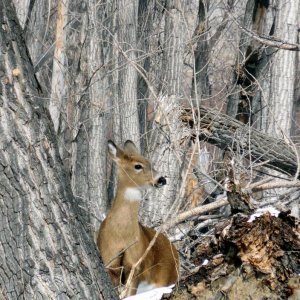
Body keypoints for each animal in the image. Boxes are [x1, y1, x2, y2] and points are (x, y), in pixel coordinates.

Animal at [97, 139, 179, 296]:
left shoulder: (136, 266)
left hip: (165, 277)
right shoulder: (110, 263)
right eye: (138, 166)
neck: (121, 235)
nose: (161, 179)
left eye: (150, 162)